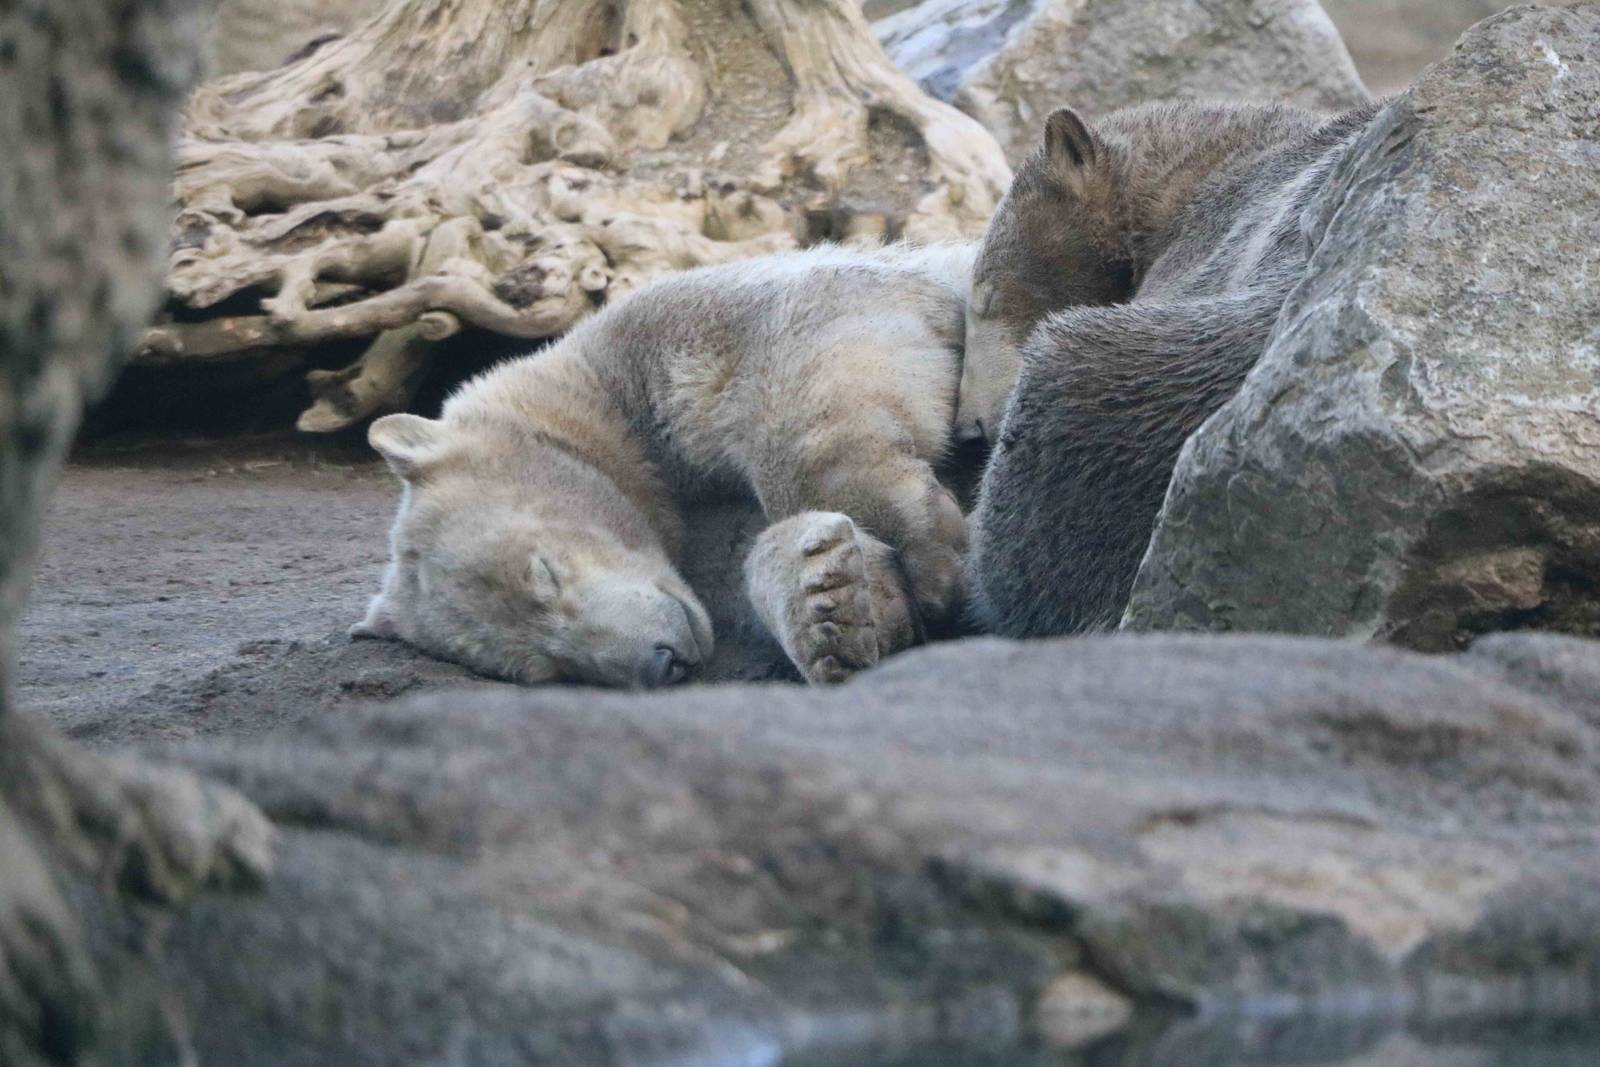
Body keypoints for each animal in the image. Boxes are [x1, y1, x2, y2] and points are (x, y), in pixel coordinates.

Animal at [353, 242, 976, 688]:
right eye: (546, 669)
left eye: (542, 574)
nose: (659, 663)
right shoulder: (688, 546)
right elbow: (737, 565)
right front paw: (835, 606)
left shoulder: (666, 329)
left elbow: (808, 329)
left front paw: (928, 553)